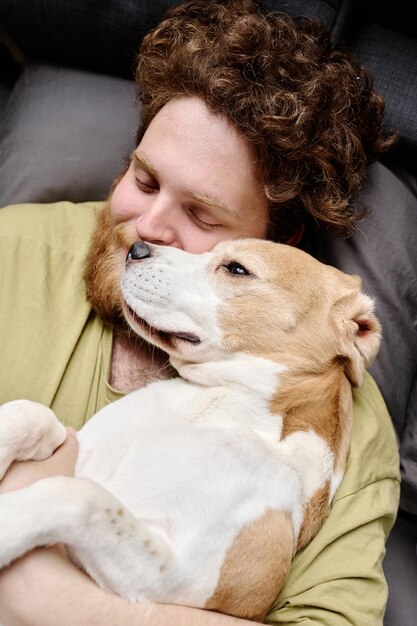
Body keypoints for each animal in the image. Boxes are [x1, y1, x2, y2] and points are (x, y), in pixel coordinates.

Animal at [0, 239, 378, 620]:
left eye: (237, 269)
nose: (136, 247)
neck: (213, 408)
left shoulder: (175, 576)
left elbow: (81, 497)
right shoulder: (75, 440)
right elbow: (32, 414)